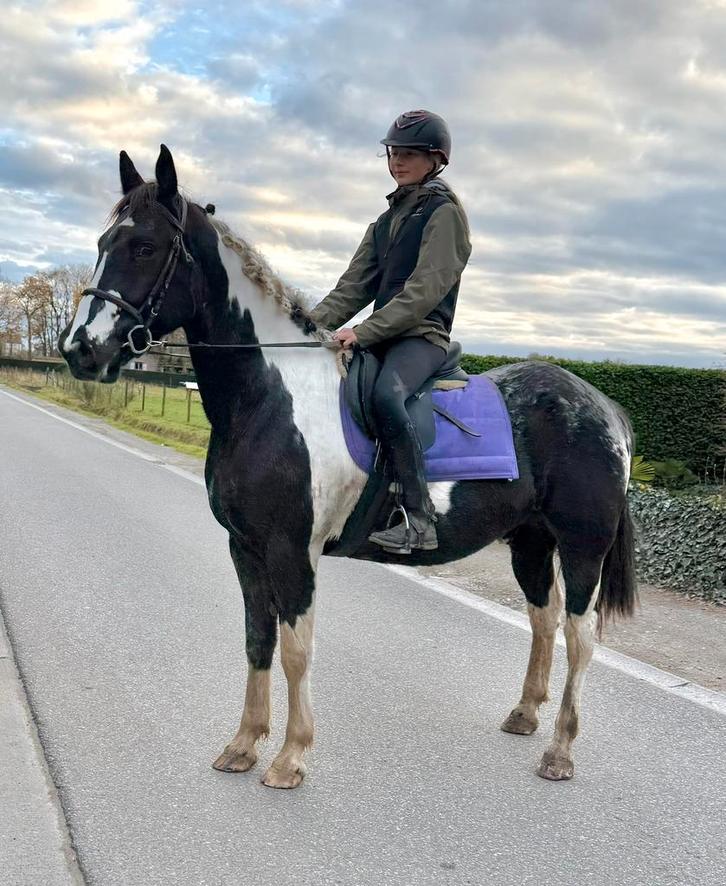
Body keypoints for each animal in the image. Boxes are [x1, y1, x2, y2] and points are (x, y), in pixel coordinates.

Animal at [59, 144, 637, 789]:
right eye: (105, 241)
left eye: (144, 247)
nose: (80, 349)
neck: (270, 397)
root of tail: (604, 407)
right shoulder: (245, 548)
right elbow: (257, 640)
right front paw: (243, 744)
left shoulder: (292, 551)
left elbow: (295, 650)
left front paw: (290, 757)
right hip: (531, 542)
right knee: (544, 619)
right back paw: (525, 715)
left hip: (583, 547)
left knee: (580, 637)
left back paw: (560, 750)